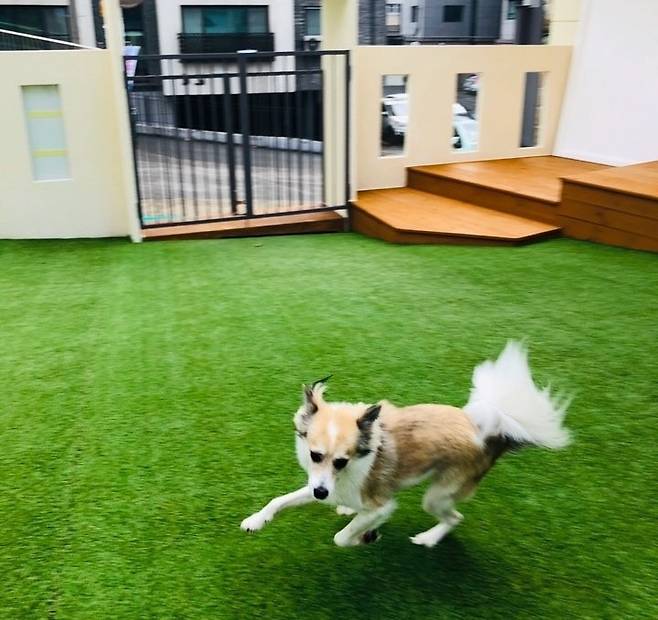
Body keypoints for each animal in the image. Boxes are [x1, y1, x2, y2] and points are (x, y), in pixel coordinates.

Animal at [240, 341, 570, 547]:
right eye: (314, 455)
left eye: (342, 461)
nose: (321, 494)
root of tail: (491, 432)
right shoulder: (320, 484)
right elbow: (280, 500)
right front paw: (256, 520)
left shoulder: (381, 505)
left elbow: (342, 537)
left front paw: (365, 536)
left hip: (438, 496)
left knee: (455, 517)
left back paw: (428, 538)